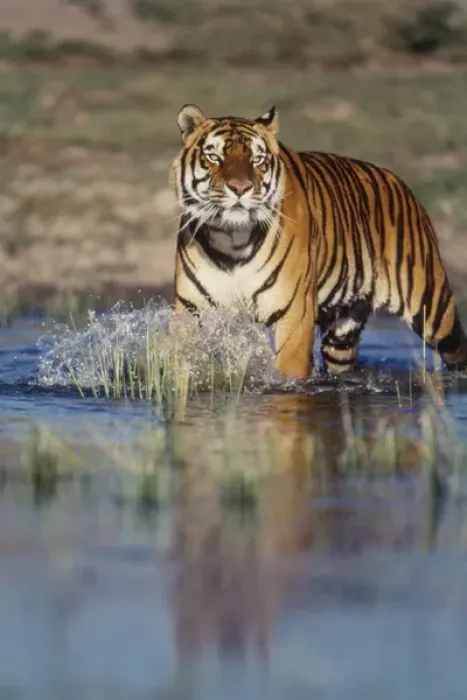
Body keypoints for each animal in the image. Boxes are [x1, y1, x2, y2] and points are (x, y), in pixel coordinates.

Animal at [171, 103, 467, 380]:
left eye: (257, 159)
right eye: (214, 156)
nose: (240, 188)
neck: (231, 240)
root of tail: (399, 182)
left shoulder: (294, 315)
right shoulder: (191, 309)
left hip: (433, 309)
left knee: (456, 348)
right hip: (342, 333)